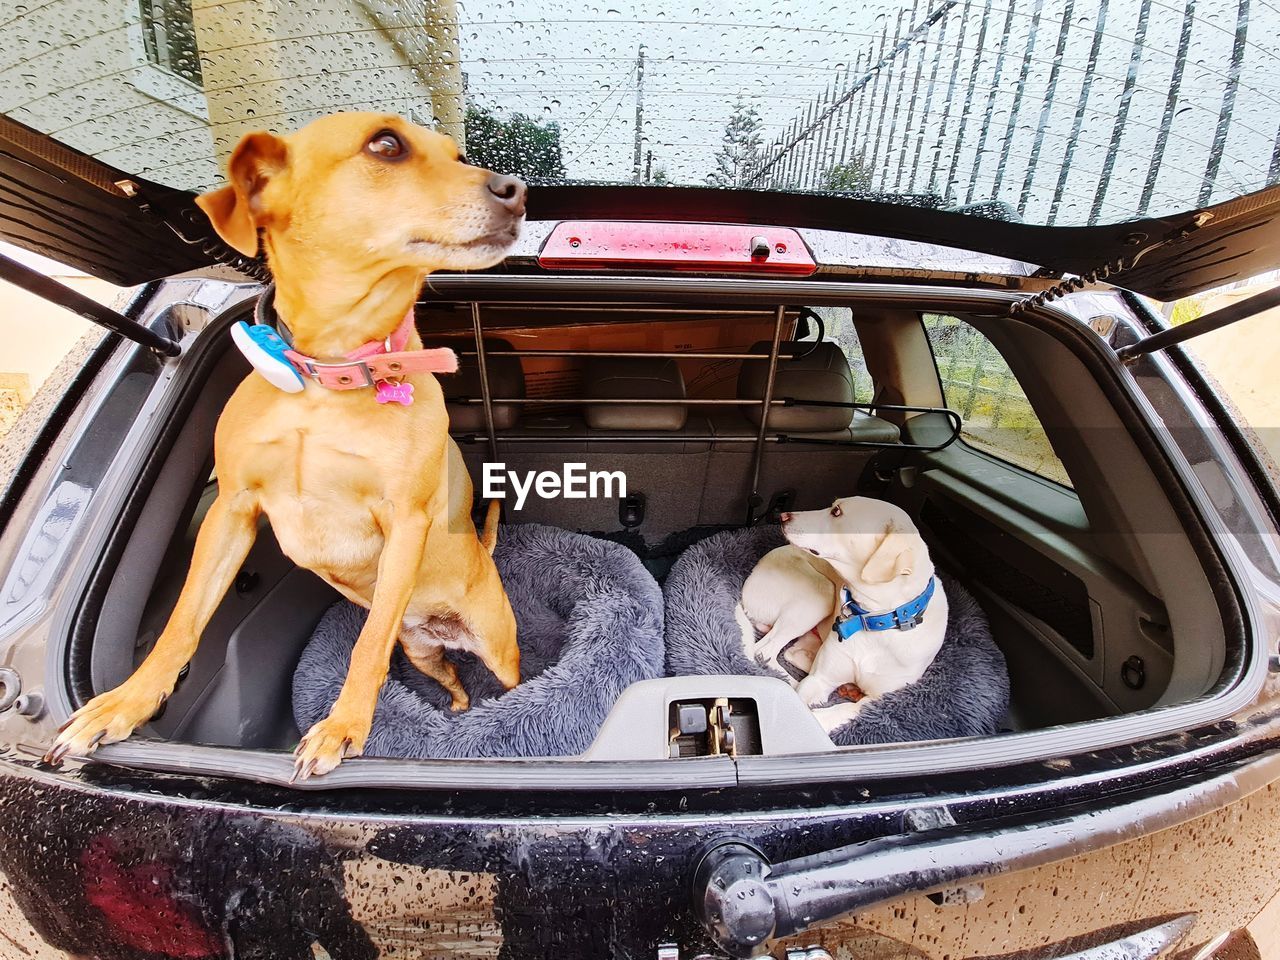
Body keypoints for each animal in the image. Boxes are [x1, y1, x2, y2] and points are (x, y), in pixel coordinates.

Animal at [47, 112, 522, 778]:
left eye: (456, 154)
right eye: (386, 145)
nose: (515, 190)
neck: (330, 376)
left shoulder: (405, 521)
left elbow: (366, 646)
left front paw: (343, 728)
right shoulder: (232, 511)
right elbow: (182, 625)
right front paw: (125, 703)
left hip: (497, 649)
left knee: (502, 684)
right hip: (422, 651)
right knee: (449, 678)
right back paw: (454, 710)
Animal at [732, 499, 952, 732]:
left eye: (836, 512)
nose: (782, 516)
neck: (874, 620)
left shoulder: (880, 700)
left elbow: (844, 710)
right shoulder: (819, 679)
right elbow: (805, 703)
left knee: (790, 653)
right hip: (820, 594)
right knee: (765, 652)